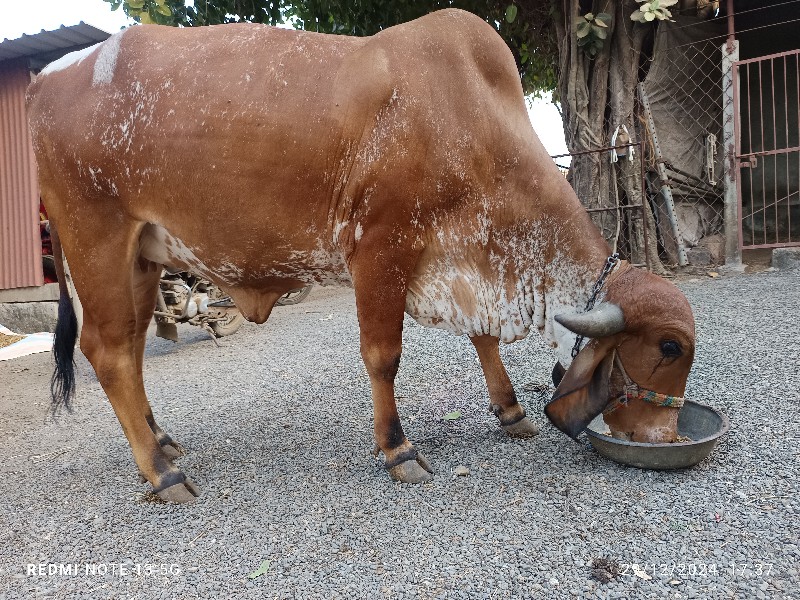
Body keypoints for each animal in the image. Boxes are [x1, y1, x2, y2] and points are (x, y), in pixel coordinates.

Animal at [28, 11, 692, 504]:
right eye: (668, 347)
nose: (663, 436)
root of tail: (49, 75)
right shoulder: (381, 248)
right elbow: (383, 357)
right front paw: (398, 449)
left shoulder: (464, 263)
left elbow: (484, 341)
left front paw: (510, 412)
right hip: (98, 242)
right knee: (110, 352)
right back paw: (162, 474)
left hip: (142, 256)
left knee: (134, 346)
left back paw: (161, 440)